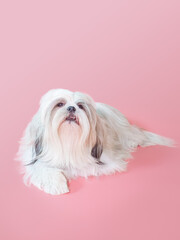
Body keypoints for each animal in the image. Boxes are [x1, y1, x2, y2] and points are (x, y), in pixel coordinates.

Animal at [17, 88, 174, 195]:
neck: (68, 139)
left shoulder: (104, 161)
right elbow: (44, 169)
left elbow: (80, 167)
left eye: (80, 106)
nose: (71, 108)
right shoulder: (36, 159)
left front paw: (66, 172)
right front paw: (57, 184)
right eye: (60, 104)